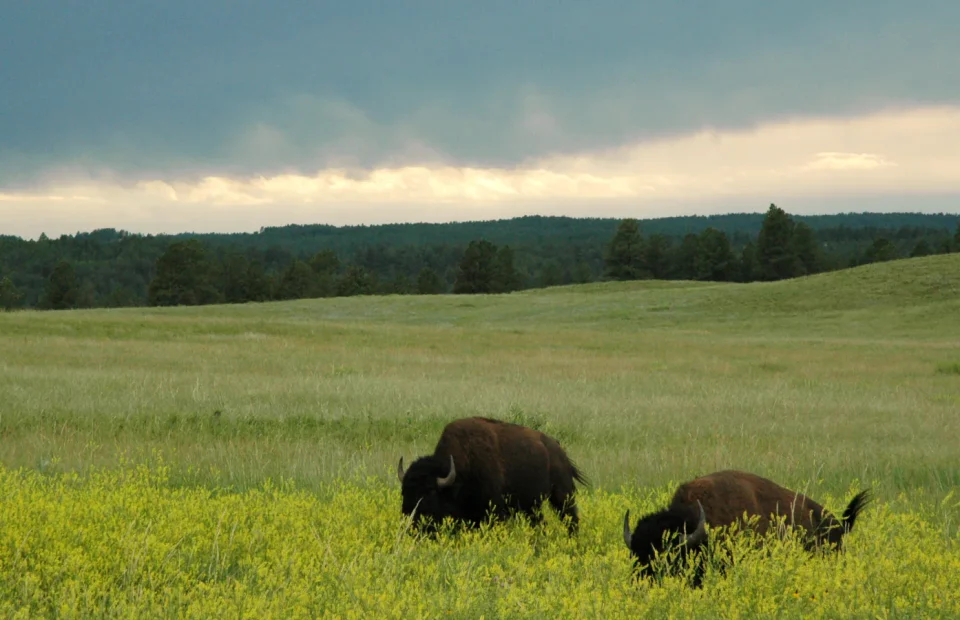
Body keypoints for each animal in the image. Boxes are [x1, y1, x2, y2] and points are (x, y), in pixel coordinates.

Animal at [396, 417, 588, 534]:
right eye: (404, 491)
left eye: (430, 492)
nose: (410, 520)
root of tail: (558, 449)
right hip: (532, 506)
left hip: (563, 496)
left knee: (571, 520)